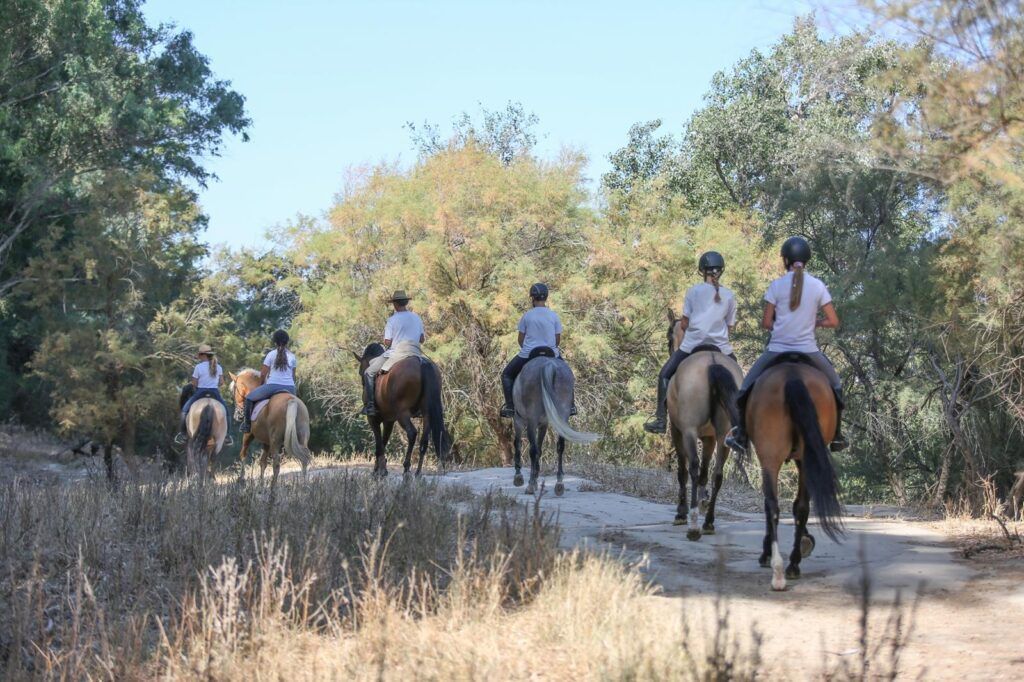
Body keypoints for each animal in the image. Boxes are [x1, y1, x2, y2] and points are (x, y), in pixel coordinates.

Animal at [355, 344, 450, 477]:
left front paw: (379, 471)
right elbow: (383, 442)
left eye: (360, 371)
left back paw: (406, 469)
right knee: (424, 440)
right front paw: (381, 469)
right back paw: (418, 473)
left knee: (412, 433)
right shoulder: (389, 421)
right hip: (427, 414)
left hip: (402, 414)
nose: (363, 382)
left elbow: (379, 444)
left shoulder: (373, 419)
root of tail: (422, 363)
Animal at [511, 354, 600, 495]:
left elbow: (519, 444)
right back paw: (559, 484)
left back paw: (530, 485)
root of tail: (550, 365)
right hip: (562, 416)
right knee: (560, 447)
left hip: (531, 419)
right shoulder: (543, 424)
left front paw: (520, 477)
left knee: (532, 450)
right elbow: (540, 449)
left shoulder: (518, 420)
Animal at [745, 358, 844, 591]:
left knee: (772, 506)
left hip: (770, 457)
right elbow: (800, 506)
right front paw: (806, 541)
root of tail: (793, 375)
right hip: (806, 456)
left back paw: (778, 569)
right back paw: (792, 565)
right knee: (800, 507)